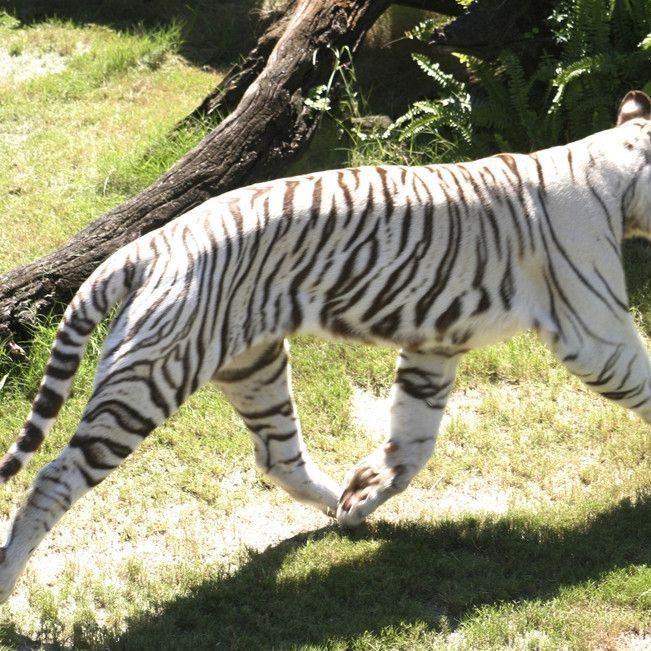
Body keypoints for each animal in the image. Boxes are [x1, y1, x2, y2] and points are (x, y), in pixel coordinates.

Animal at [0, 90, 650, 603]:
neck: (615, 176)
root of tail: (148, 243)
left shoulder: (434, 344)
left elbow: (413, 440)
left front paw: (367, 489)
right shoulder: (593, 327)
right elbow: (645, 377)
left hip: (253, 365)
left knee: (277, 456)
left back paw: (342, 510)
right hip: (149, 377)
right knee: (54, 477)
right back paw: (7, 580)